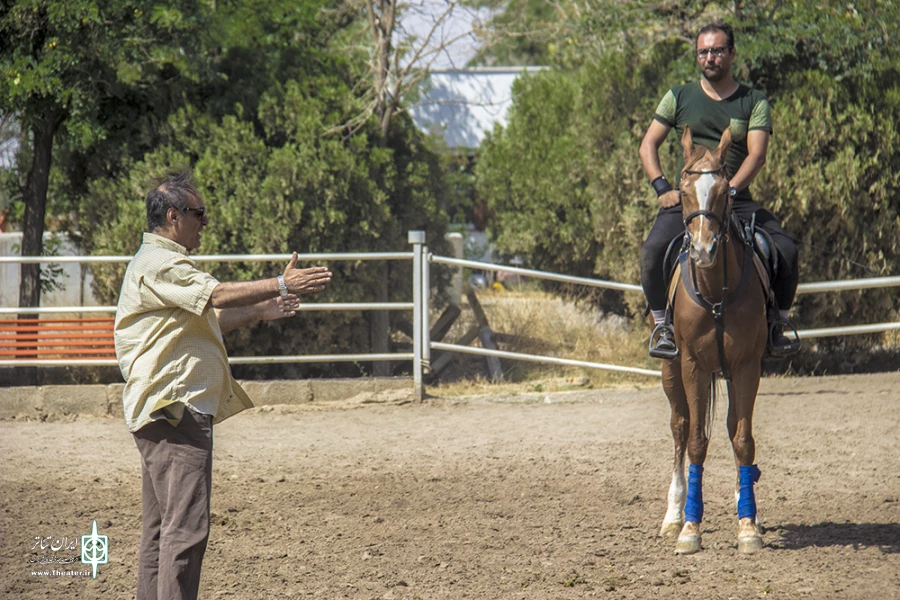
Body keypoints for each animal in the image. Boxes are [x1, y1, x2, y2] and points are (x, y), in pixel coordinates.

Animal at [656, 124, 768, 556]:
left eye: (724, 192)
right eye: (684, 190)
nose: (703, 250)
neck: (715, 291)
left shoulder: (747, 366)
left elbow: (742, 438)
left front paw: (748, 525)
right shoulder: (693, 366)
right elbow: (696, 443)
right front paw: (690, 528)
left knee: (731, 427)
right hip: (671, 369)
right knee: (680, 426)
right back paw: (672, 515)